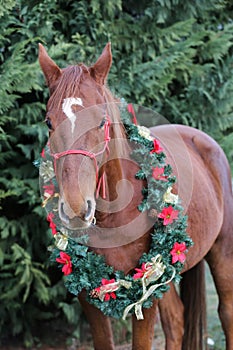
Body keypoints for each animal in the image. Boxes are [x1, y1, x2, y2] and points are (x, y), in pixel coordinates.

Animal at [38, 42, 233, 348]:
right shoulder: (88, 294)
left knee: (226, 313)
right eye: (49, 122)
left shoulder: (145, 290)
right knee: (176, 321)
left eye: (101, 122)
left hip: (222, 251)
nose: (75, 208)